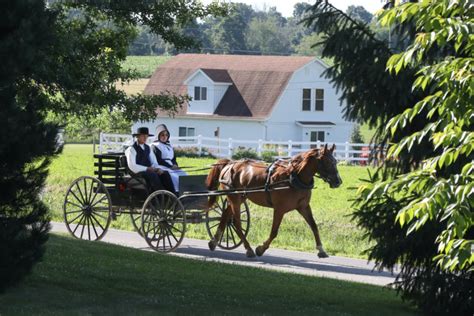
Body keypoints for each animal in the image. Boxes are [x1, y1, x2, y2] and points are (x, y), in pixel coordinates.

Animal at [206, 144, 342, 258]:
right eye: (328, 161)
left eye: (335, 161)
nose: (338, 181)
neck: (293, 176)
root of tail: (230, 163)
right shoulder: (279, 209)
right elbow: (274, 232)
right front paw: (261, 249)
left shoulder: (303, 207)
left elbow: (314, 226)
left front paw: (321, 249)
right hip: (235, 198)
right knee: (236, 223)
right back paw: (248, 248)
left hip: (238, 198)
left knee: (225, 216)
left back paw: (214, 242)